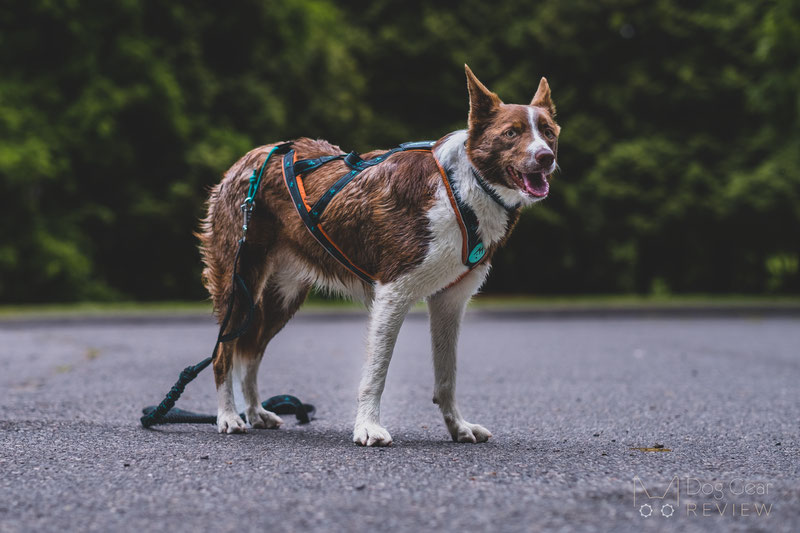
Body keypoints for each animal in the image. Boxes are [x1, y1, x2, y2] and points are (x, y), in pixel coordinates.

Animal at [199, 63, 560, 444]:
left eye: (548, 132)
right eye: (511, 133)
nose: (545, 157)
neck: (463, 189)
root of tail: (248, 159)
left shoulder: (450, 300)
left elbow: (447, 377)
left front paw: (458, 427)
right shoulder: (393, 292)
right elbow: (376, 372)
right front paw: (368, 427)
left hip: (282, 296)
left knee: (251, 353)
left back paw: (255, 412)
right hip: (240, 281)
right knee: (223, 353)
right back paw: (228, 417)